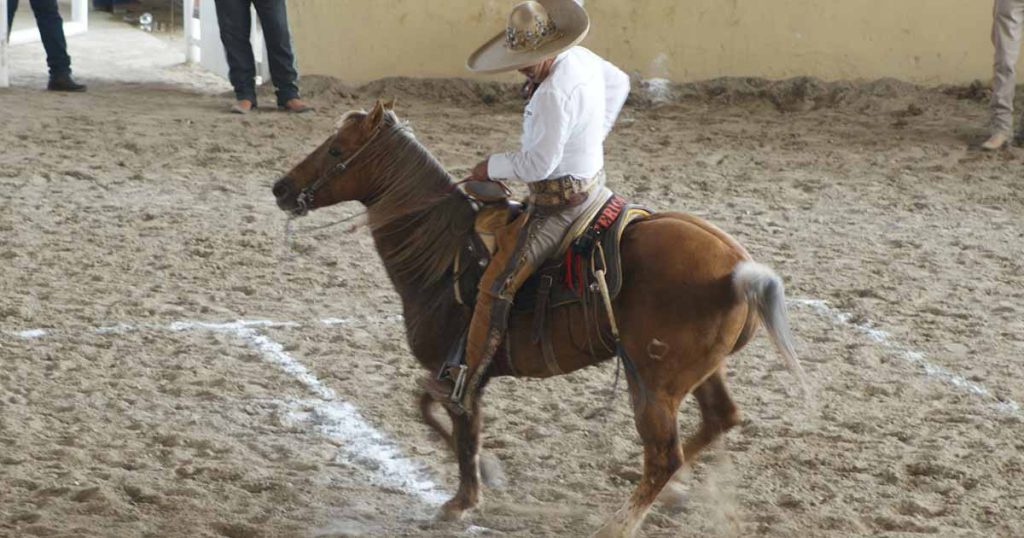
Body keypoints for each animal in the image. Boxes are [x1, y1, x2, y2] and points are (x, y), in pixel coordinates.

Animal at [272, 101, 806, 536]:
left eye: (336, 149)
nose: (281, 188)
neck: (445, 256)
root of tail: (739, 267)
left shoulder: (460, 367)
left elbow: (455, 420)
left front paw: (464, 497)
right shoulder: (458, 370)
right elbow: (431, 408)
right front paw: (484, 477)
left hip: (654, 383)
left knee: (664, 455)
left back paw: (618, 523)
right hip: (696, 372)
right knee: (718, 419)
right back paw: (664, 491)